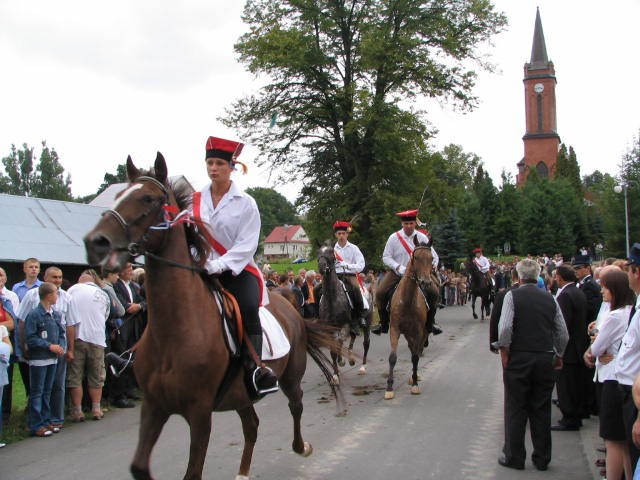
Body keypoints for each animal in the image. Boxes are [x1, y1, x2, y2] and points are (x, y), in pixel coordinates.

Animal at [83, 153, 345, 480]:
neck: (173, 332)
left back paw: (302, 447)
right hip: (240, 394)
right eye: (118, 195)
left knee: (295, 406)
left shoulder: (199, 413)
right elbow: (139, 467)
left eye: (147, 198)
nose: (96, 242)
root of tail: (289, 306)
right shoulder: (154, 407)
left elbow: (192, 472)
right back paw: (243, 472)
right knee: (252, 425)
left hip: (289, 376)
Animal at [316, 244, 371, 382]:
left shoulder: (345, 325)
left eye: (331, 252)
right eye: (318, 252)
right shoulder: (330, 329)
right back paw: (350, 357)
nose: (322, 266)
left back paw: (362, 366)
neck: (332, 298)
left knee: (366, 343)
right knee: (353, 336)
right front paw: (335, 374)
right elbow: (333, 349)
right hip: (353, 325)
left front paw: (341, 361)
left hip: (366, 324)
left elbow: (340, 342)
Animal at [384, 236, 437, 400]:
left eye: (431, 258)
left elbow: (415, 357)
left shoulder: (418, 331)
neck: (407, 301)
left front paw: (414, 384)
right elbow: (392, 357)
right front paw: (389, 388)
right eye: (416, 257)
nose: (426, 282)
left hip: (421, 332)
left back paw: (415, 377)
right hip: (407, 333)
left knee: (417, 351)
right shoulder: (394, 329)